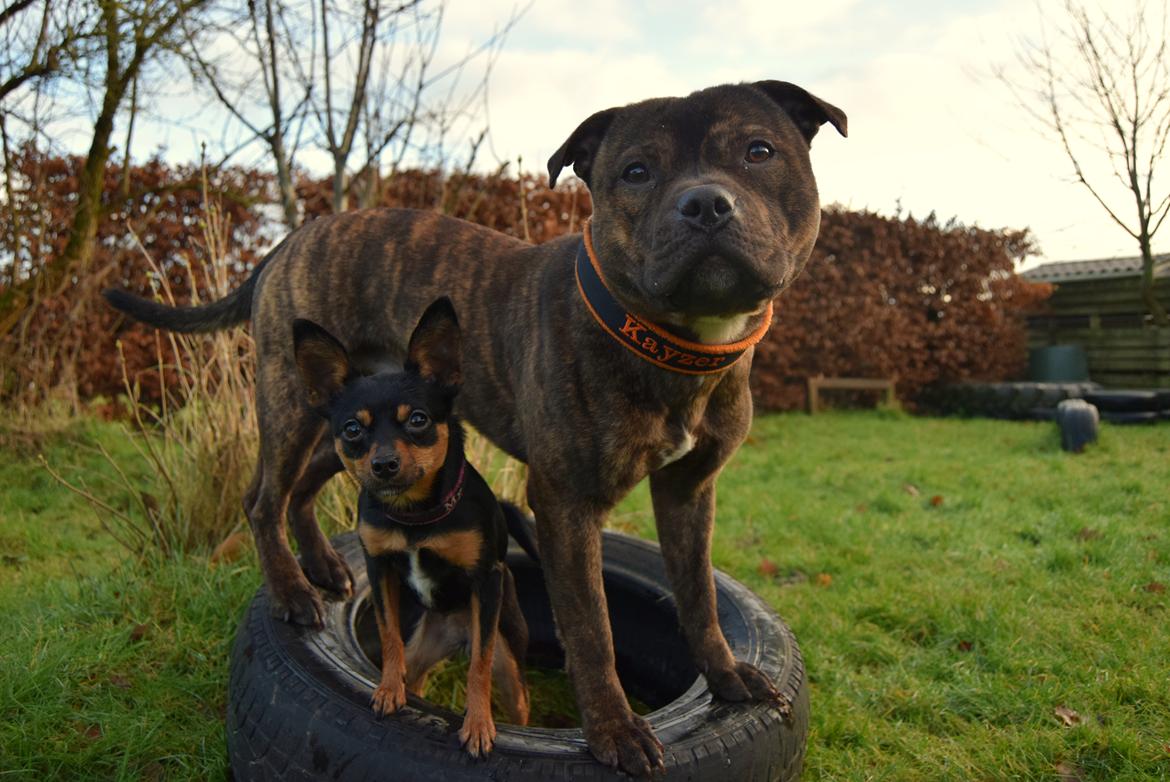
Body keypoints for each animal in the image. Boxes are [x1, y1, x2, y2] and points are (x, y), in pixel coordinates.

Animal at [292, 297, 531, 758]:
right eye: (352, 429)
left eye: (418, 420)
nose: (384, 464)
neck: (414, 516)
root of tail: (457, 631)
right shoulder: (379, 567)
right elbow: (389, 636)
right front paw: (387, 690)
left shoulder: (486, 581)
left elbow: (477, 668)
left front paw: (478, 725)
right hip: (425, 648)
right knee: (415, 673)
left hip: (508, 658)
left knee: (511, 691)